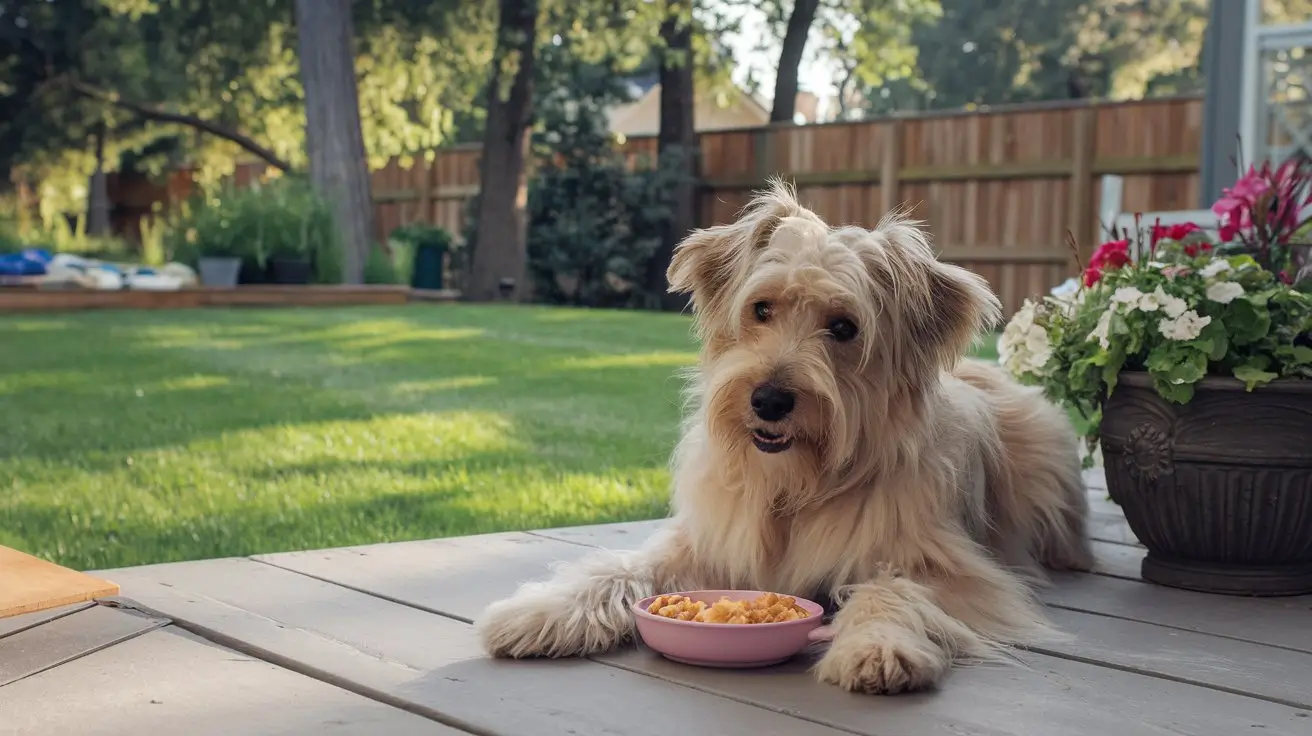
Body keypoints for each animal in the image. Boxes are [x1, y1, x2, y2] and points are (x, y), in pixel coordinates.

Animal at [477, 181, 1091, 692]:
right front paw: (543, 612)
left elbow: (892, 589)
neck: (795, 487)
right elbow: (620, 568)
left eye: (844, 327)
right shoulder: (705, 544)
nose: (768, 400)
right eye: (761, 308)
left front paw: (877, 645)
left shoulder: (953, 570)